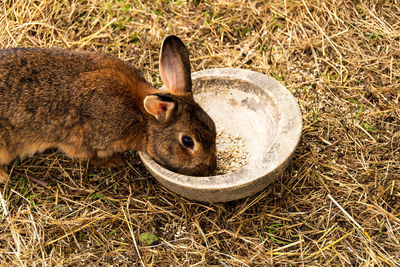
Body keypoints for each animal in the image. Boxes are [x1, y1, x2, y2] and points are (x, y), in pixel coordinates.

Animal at [0, 35, 217, 184]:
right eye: (188, 141)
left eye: (213, 127)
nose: (210, 169)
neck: (142, 118)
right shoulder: (87, 142)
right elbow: (90, 158)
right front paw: (115, 162)